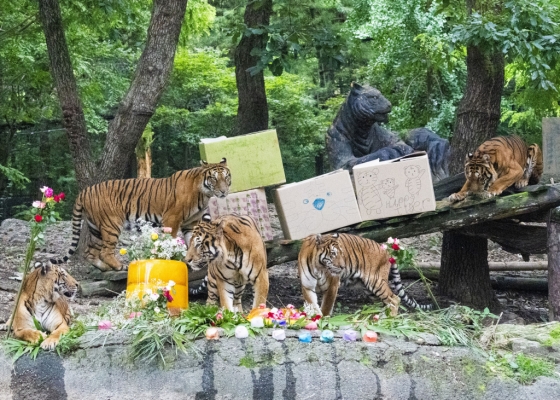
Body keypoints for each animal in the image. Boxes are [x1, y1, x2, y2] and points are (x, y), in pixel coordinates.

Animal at [50, 159, 230, 272]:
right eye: (214, 179)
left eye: (226, 177)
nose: (224, 191)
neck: (204, 193)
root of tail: (85, 191)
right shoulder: (171, 219)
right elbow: (170, 240)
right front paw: (174, 257)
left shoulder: (190, 223)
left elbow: (191, 240)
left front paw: (192, 260)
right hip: (111, 224)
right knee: (105, 252)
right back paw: (119, 266)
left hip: (96, 229)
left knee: (90, 252)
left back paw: (106, 268)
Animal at [298, 233, 434, 318]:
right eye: (333, 254)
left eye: (342, 253)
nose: (342, 267)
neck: (319, 267)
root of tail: (385, 250)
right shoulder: (307, 286)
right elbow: (312, 304)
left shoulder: (332, 285)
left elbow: (326, 305)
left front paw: (324, 320)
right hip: (369, 289)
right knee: (382, 302)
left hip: (375, 282)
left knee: (395, 298)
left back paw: (390, 319)